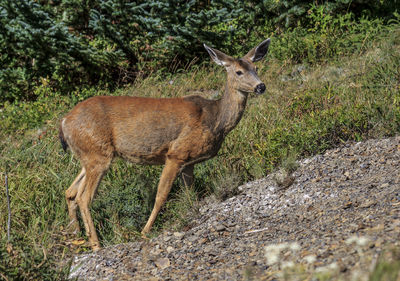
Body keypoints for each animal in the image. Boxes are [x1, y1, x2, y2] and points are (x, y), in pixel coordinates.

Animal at [58, 37, 272, 249]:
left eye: (256, 67)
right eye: (238, 71)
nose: (261, 86)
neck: (215, 119)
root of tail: (64, 121)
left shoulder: (189, 161)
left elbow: (190, 193)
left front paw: (192, 211)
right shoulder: (176, 153)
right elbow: (161, 196)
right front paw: (145, 232)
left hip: (90, 154)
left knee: (70, 192)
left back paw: (76, 237)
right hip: (97, 153)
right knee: (83, 197)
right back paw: (96, 244)